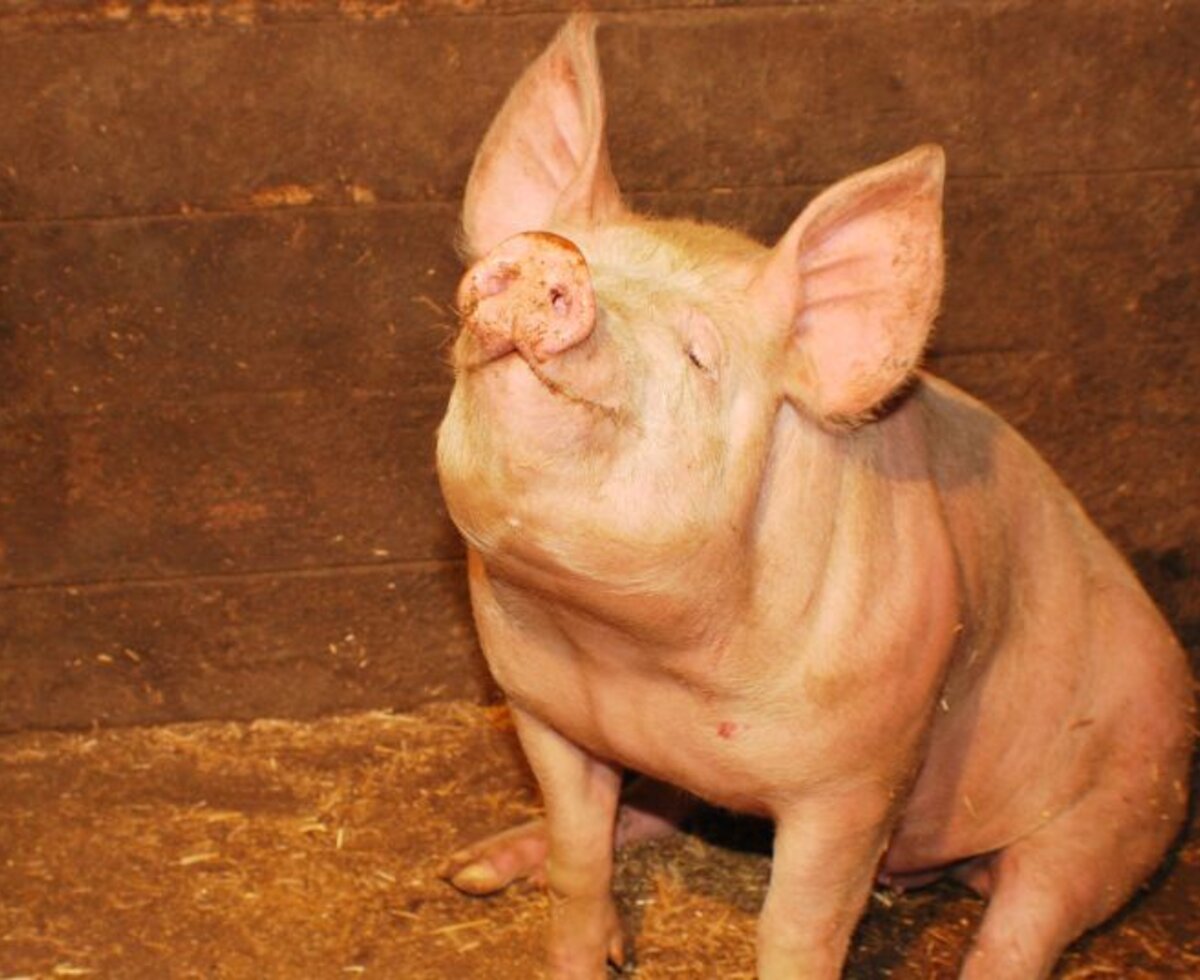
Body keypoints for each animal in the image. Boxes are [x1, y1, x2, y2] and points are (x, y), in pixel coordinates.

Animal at [434, 15, 1195, 980]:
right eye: (577, 253)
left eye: (701, 354)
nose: (548, 254)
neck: (632, 657)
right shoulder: (540, 711)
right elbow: (579, 855)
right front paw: (574, 947)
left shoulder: (860, 780)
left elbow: (800, 929)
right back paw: (473, 870)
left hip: (1123, 800)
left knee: (1030, 918)